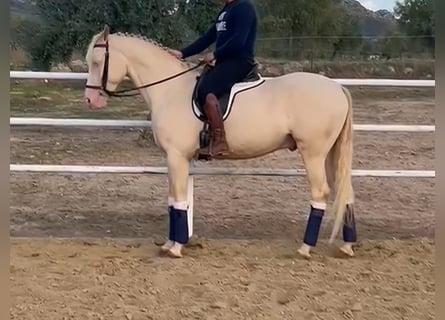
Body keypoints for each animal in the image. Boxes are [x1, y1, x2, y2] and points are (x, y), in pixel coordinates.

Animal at [82, 25, 358, 260]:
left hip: (313, 153)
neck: (171, 90)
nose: (90, 100)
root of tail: (337, 88)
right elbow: (173, 199)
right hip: (330, 154)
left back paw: (305, 248)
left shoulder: (176, 156)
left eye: (97, 62)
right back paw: (346, 246)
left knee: (320, 192)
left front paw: (176, 247)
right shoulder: (175, 158)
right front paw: (169, 244)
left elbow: (178, 198)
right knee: (344, 190)